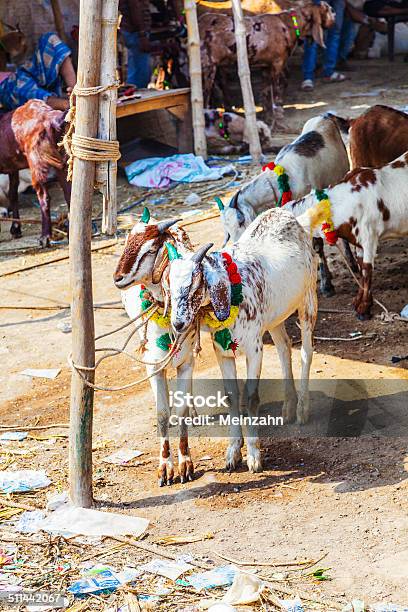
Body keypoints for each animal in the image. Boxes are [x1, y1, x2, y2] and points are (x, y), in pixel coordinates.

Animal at [0, 99, 70, 245]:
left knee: (44, 198)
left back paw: (45, 237)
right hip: (62, 161)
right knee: (69, 193)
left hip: (37, 164)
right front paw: (16, 228)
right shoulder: (13, 168)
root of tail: (52, 118)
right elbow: (13, 194)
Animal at [167, 208, 318, 470]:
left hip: (308, 299)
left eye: (195, 285)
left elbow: (251, 397)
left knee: (306, 353)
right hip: (275, 316)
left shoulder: (254, 348)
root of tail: (290, 216)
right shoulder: (222, 351)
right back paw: (288, 406)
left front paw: (254, 455)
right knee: (284, 347)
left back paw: (302, 409)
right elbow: (232, 397)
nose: (178, 324)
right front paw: (233, 451)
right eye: (169, 286)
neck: (232, 287)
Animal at [198, 0, 334, 122]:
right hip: (208, 68)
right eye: (327, 9)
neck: (289, 23)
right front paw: (277, 112)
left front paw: (268, 117)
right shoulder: (277, 63)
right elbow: (275, 90)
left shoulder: (265, 67)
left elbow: (265, 94)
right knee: (204, 98)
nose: (335, 13)